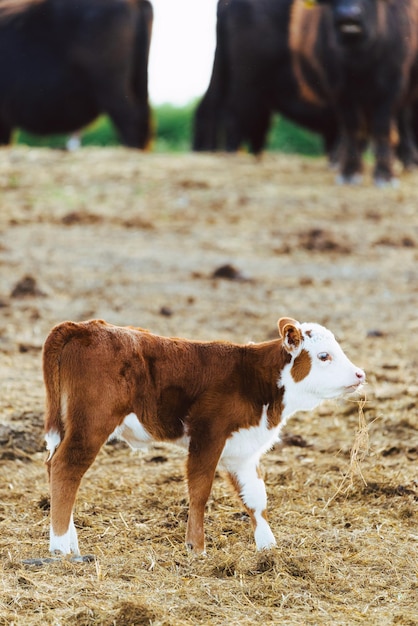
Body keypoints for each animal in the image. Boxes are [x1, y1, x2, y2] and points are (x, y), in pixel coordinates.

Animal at [42, 316, 366, 552]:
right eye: (324, 356)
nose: (360, 374)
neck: (254, 378)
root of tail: (82, 326)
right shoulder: (208, 436)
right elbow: (199, 491)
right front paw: (196, 547)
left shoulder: (242, 450)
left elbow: (256, 497)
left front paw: (268, 548)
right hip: (91, 424)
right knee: (66, 468)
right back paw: (60, 548)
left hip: (68, 424)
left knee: (54, 467)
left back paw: (69, 541)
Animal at [290, 0, 418, 185]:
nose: (348, 15)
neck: (359, 59)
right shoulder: (339, 89)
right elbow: (352, 127)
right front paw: (350, 171)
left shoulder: (392, 85)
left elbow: (382, 128)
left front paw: (384, 174)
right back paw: (338, 159)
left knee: (401, 120)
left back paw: (410, 161)